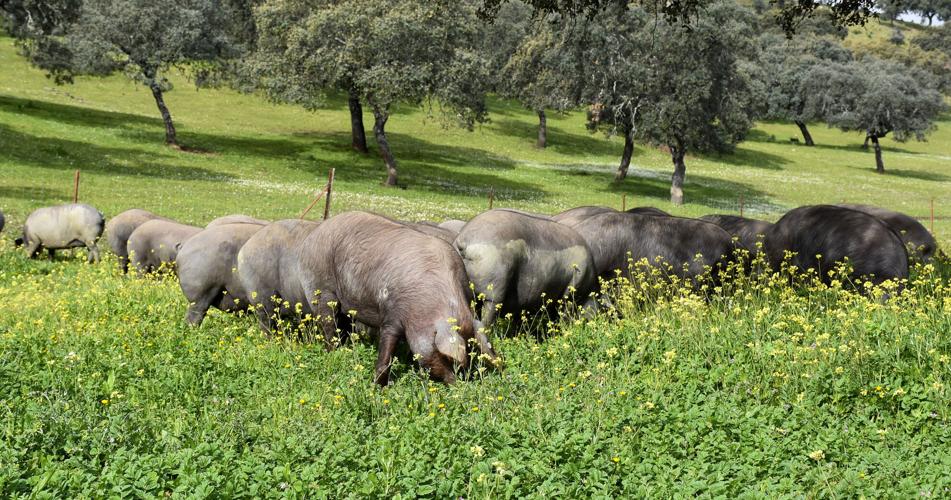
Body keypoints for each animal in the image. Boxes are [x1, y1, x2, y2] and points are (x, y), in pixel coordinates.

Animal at [296, 211, 496, 385]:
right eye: (446, 358)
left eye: (471, 353)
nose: (459, 384)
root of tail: (313, 235)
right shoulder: (392, 313)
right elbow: (386, 352)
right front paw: (378, 386)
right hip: (319, 289)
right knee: (329, 325)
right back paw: (333, 353)